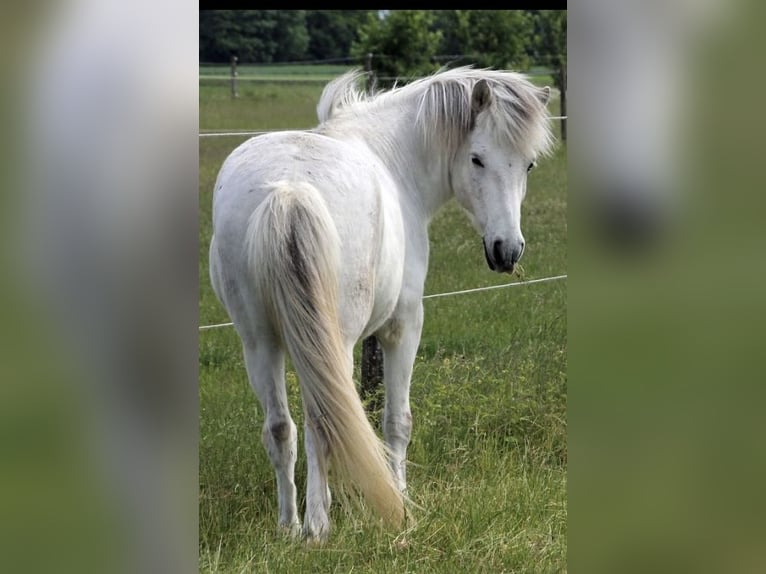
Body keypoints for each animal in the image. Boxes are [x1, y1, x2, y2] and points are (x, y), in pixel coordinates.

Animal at [208, 66, 555, 541]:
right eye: (477, 159)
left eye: (529, 165)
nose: (508, 250)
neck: (393, 157)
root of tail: (290, 190)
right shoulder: (402, 327)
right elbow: (396, 421)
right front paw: (400, 497)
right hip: (333, 341)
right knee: (323, 421)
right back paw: (318, 527)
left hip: (259, 342)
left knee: (281, 427)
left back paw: (290, 526)